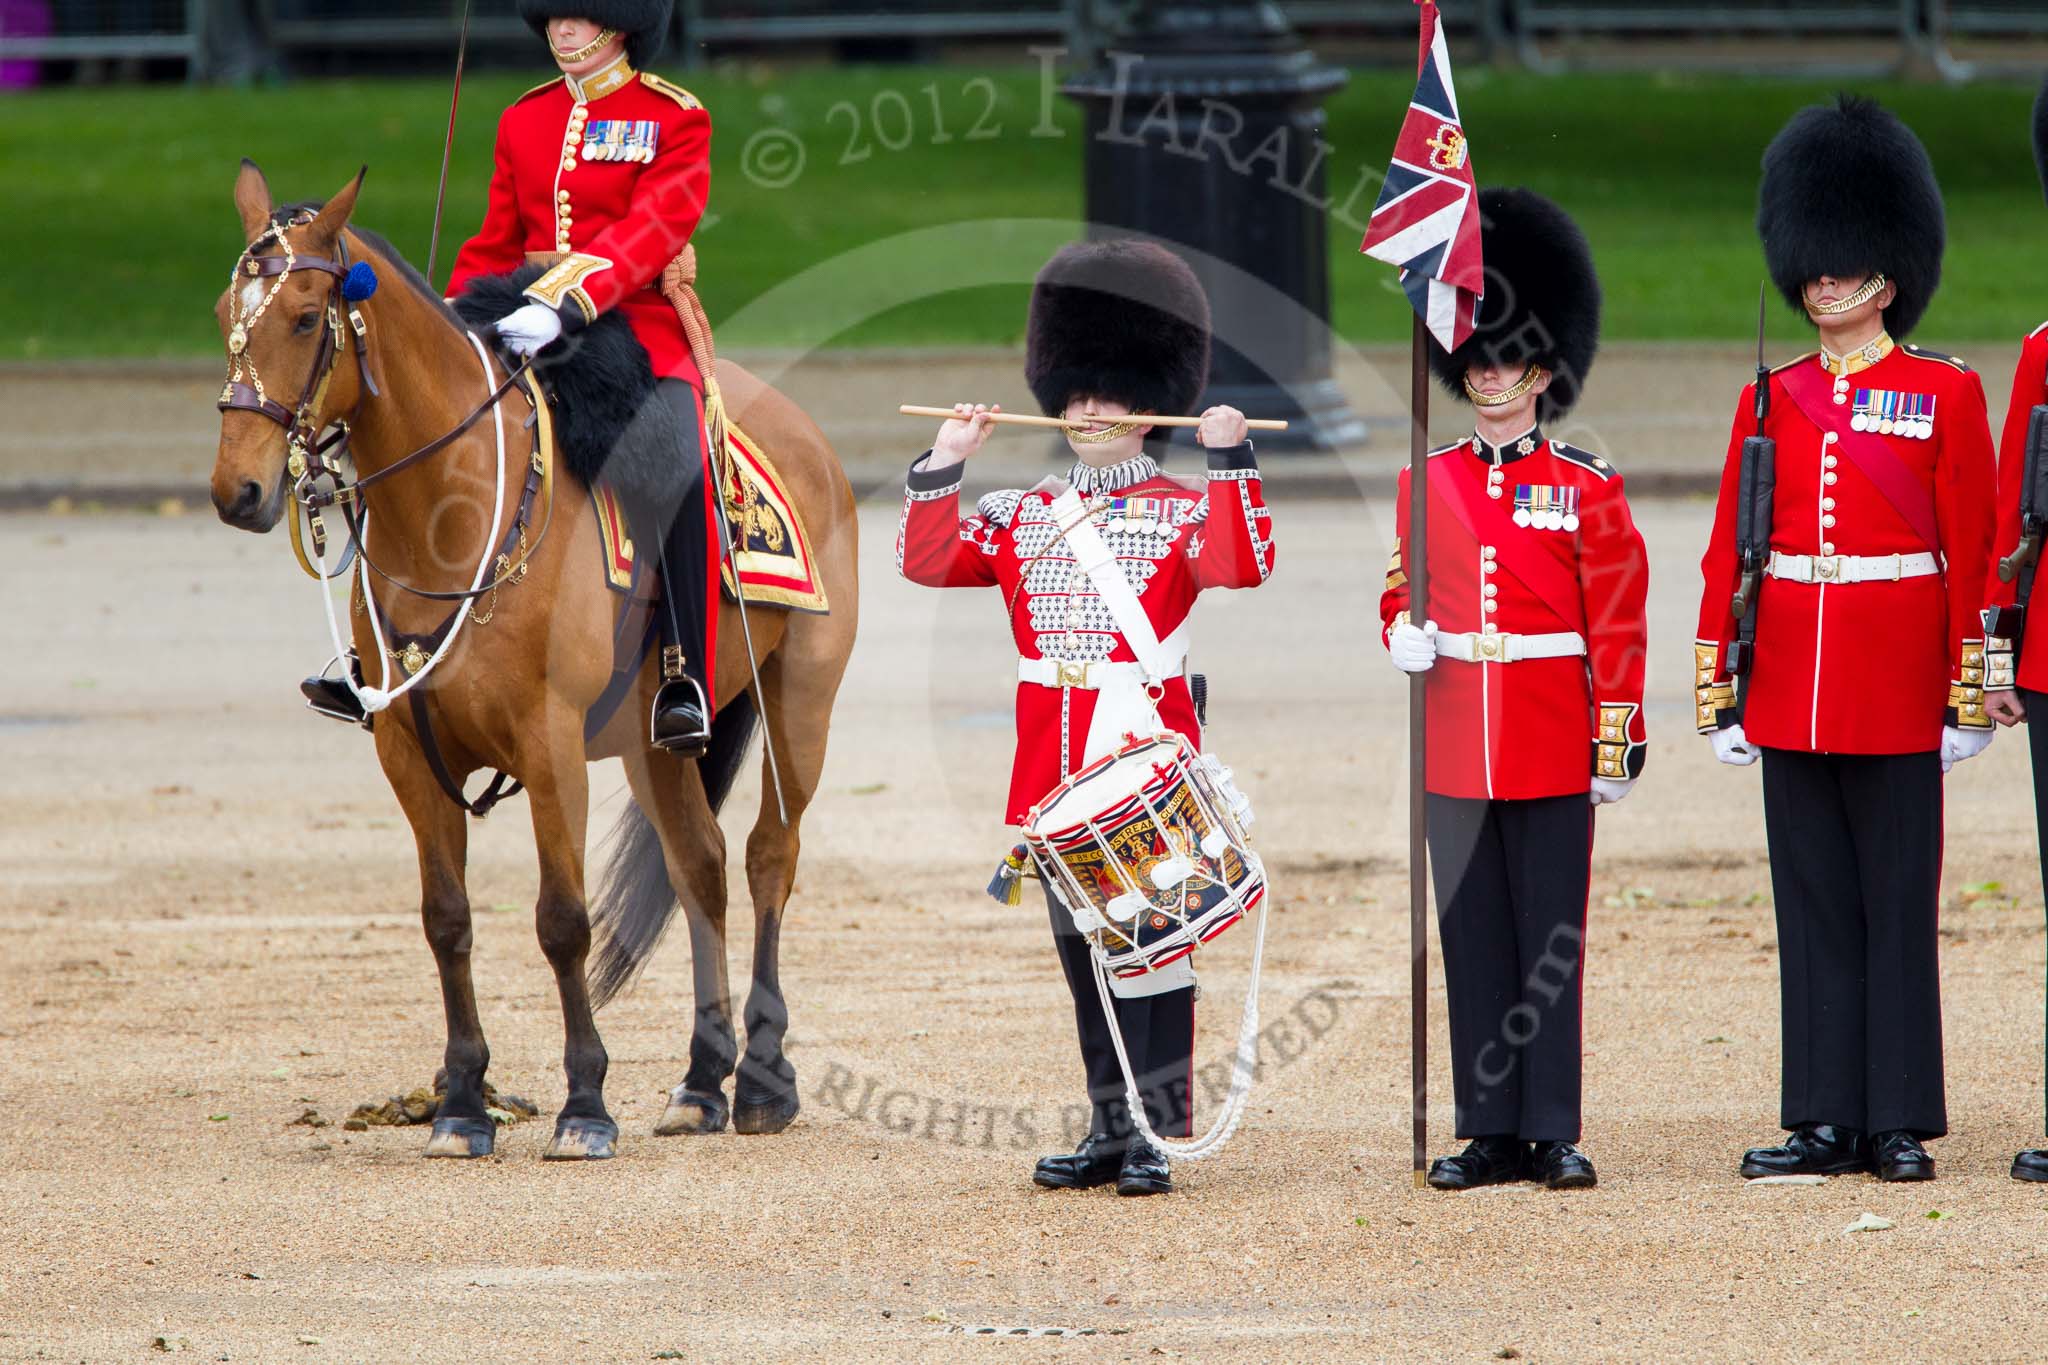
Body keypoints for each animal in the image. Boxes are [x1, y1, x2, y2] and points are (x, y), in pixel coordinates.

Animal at [216, 165, 864, 1162]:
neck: (448, 513)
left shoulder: (549, 742)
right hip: (652, 738)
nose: (237, 490)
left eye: (304, 316)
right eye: (224, 313)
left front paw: (584, 1103)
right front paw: (461, 1103)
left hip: (802, 702)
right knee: (702, 865)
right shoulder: (408, 750)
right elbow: (446, 920)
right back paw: (700, 1081)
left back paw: (761, 1077)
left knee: (768, 858)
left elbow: (562, 920)